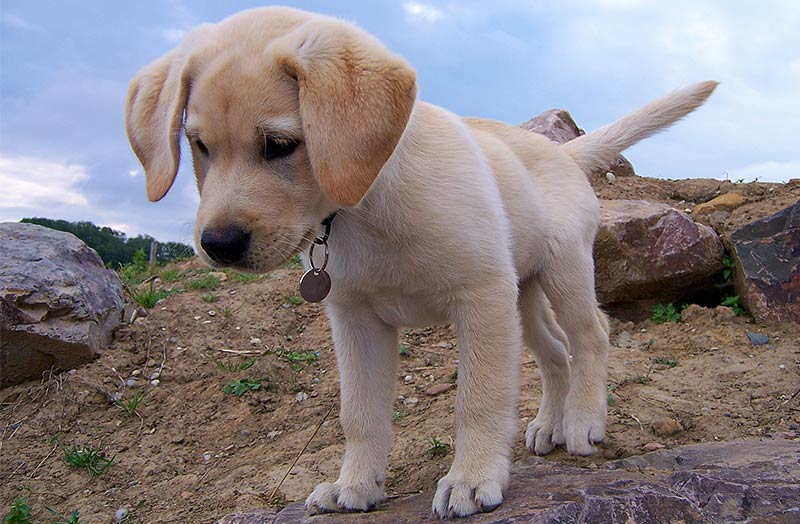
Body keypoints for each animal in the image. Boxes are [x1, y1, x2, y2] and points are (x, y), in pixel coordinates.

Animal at [126, 6, 720, 516]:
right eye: (198, 145)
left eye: (280, 144)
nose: (219, 244)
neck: (364, 205)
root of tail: (558, 150)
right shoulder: (356, 320)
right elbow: (360, 413)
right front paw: (355, 485)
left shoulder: (480, 297)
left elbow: (478, 397)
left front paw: (472, 479)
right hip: (521, 294)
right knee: (554, 352)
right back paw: (549, 424)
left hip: (562, 270)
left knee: (591, 334)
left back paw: (582, 422)